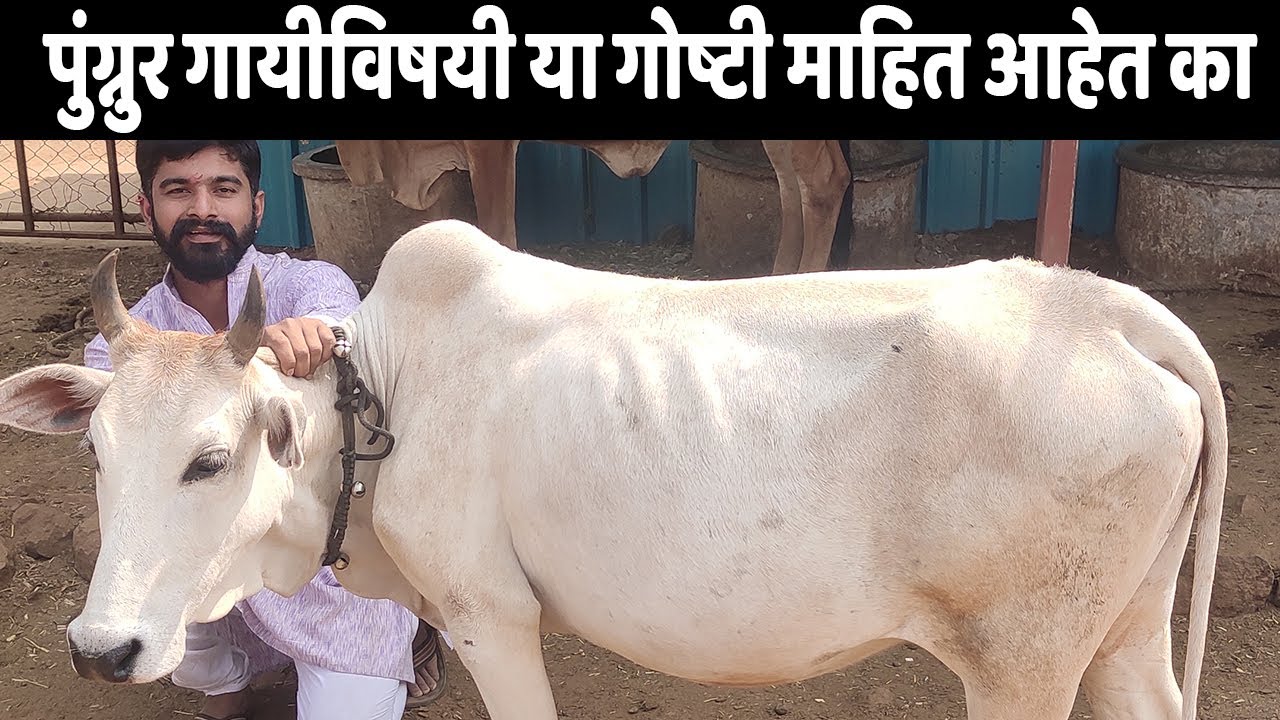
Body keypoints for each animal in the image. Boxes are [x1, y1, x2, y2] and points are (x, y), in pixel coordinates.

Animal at [0, 219, 1226, 720]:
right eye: (96, 455)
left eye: (209, 460)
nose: (101, 649)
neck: (383, 398)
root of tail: (1108, 311)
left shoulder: (489, 617)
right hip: (1121, 633)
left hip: (1021, 664)